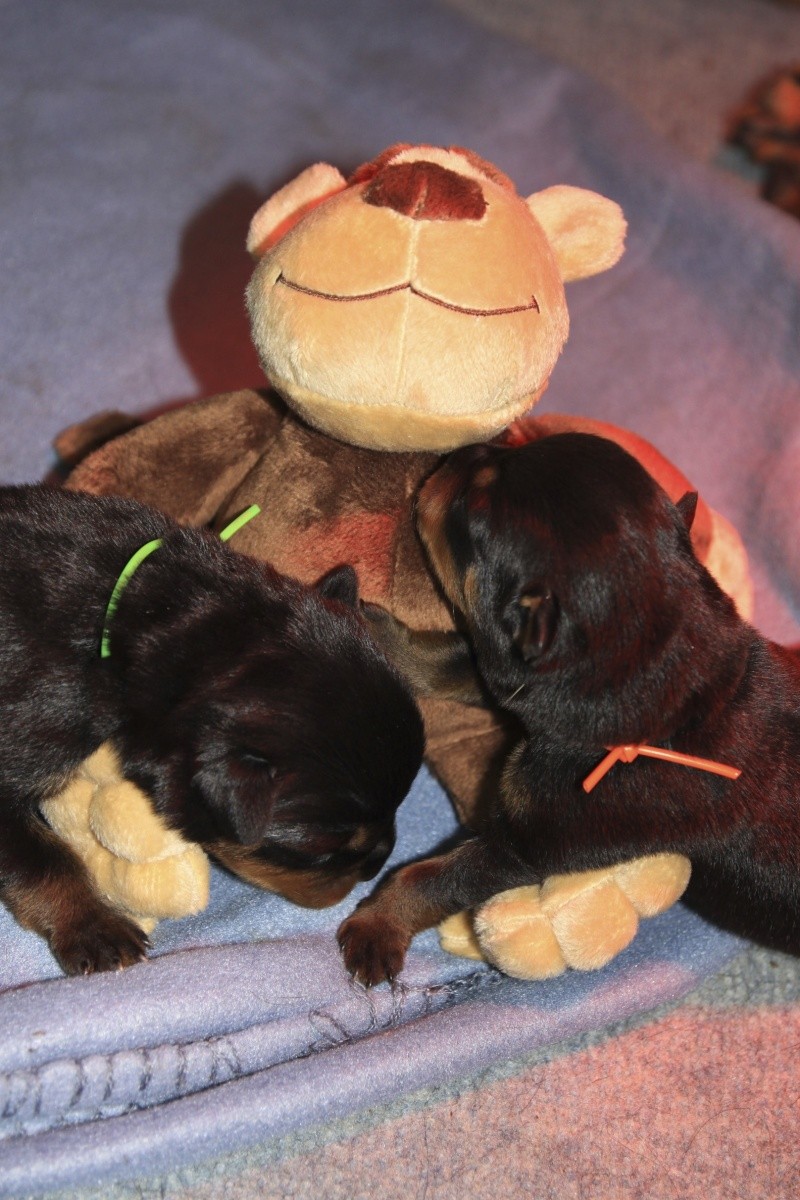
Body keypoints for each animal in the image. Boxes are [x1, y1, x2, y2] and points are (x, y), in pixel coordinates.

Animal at [340, 432, 800, 984]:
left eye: (472, 509)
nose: (465, 448)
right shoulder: (519, 677)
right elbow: (455, 662)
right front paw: (372, 631)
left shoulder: (531, 842)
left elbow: (435, 876)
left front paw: (376, 927)